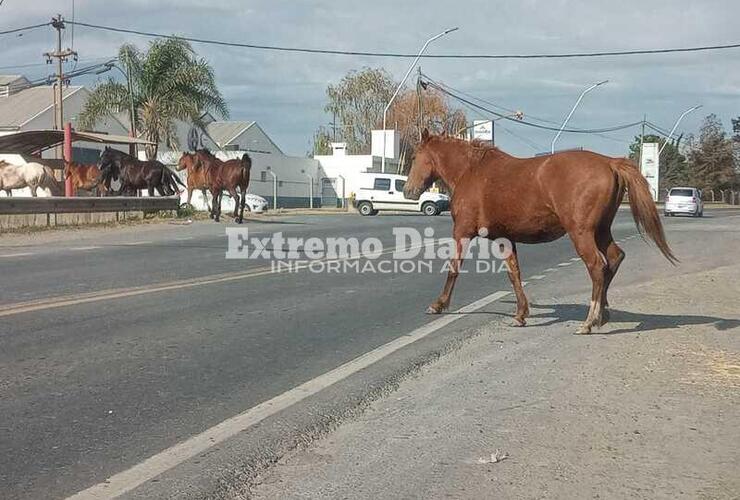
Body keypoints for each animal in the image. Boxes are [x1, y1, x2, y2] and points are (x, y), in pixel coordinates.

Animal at [404, 132, 676, 336]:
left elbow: (454, 268)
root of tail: (609, 162)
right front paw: (520, 314)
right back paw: (602, 315)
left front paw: (439, 304)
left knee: (597, 267)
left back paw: (589, 321)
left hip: (582, 233)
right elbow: (514, 274)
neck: (472, 171)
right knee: (615, 258)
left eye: (416, 156)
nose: (408, 190)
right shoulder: (505, 239)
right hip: (601, 230)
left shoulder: (462, 232)